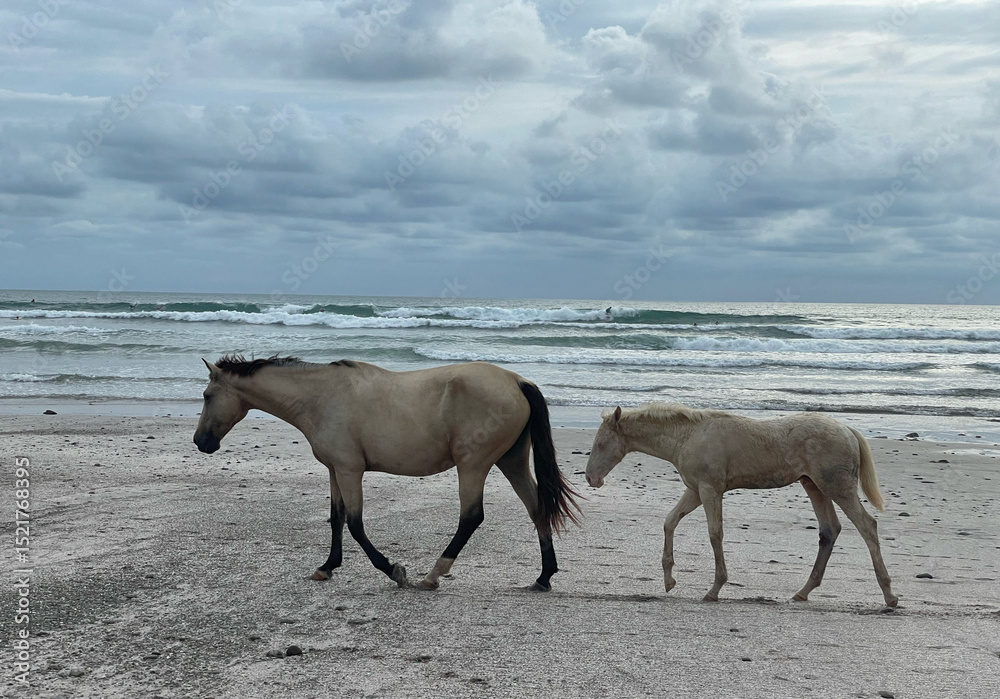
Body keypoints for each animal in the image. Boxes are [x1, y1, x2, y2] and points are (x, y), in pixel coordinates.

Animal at [193, 355, 580, 591]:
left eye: (207, 395)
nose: (201, 442)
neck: (321, 396)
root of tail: (516, 381)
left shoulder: (350, 471)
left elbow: (355, 524)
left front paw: (393, 570)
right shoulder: (336, 470)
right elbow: (336, 519)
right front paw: (328, 566)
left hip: (474, 465)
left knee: (471, 517)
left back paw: (432, 575)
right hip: (511, 462)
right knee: (537, 509)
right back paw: (543, 576)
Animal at [584, 403, 897, 607]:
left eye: (601, 444)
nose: (590, 478)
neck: (688, 436)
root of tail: (847, 429)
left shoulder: (710, 490)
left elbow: (715, 534)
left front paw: (714, 589)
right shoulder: (695, 490)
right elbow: (670, 521)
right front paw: (669, 580)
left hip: (836, 487)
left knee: (867, 526)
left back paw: (889, 596)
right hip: (814, 486)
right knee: (829, 531)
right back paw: (803, 592)